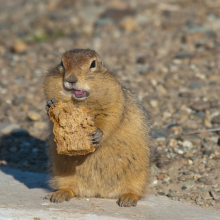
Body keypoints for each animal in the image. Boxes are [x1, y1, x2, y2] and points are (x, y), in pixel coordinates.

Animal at [42, 48, 150, 206]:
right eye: (61, 63)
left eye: (93, 64)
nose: (71, 79)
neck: (81, 102)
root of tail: (98, 193)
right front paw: (50, 104)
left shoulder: (114, 101)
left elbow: (110, 118)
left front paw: (97, 134)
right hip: (61, 173)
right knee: (69, 188)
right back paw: (59, 194)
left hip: (138, 175)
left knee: (135, 190)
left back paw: (128, 199)